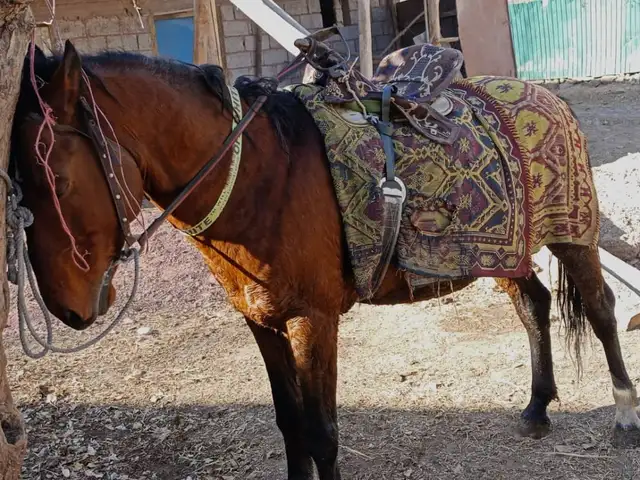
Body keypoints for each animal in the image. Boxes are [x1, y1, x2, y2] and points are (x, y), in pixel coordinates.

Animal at [10, 40, 639, 480]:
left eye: (58, 180)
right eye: (14, 183)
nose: (66, 310)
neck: (264, 176)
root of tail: (549, 96)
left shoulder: (314, 321)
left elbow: (323, 433)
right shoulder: (261, 321)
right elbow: (290, 425)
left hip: (573, 236)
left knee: (602, 310)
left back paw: (624, 417)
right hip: (500, 252)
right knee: (533, 303)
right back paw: (537, 407)